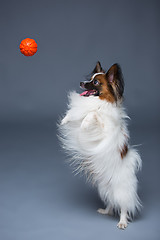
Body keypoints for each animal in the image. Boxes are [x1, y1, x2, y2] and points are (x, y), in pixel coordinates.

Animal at [58, 61, 141, 229]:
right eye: (90, 79)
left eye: (95, 82)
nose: (81, 83)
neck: (100, 102)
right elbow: (78, 113)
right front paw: (66, 119)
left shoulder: (103, 131)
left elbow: (93, 114)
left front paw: (85, 123)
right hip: (105, 188)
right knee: (111, 201)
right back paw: (106, 211)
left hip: (121, 190)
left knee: (123, 206)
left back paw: (122, 222)